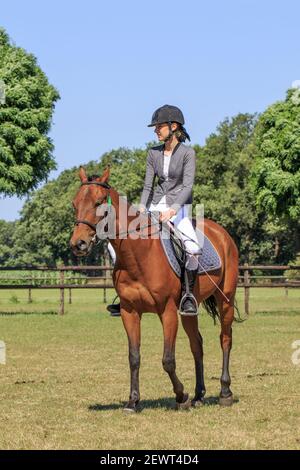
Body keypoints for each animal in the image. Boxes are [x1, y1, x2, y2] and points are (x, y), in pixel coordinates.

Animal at [69, 165, 239, 412]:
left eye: (99, 202)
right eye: (74, 203)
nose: (78, 244)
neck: (138, 255)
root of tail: (221, 233)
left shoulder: (167, 311)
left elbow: (167, 359)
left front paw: (181, 396)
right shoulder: (130, 312)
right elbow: (134, 357)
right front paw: (133, 401)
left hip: (225, 299)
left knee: (225, 339)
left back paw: (225, 392)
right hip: (189, 309)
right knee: (196, 344)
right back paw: (199, 395)